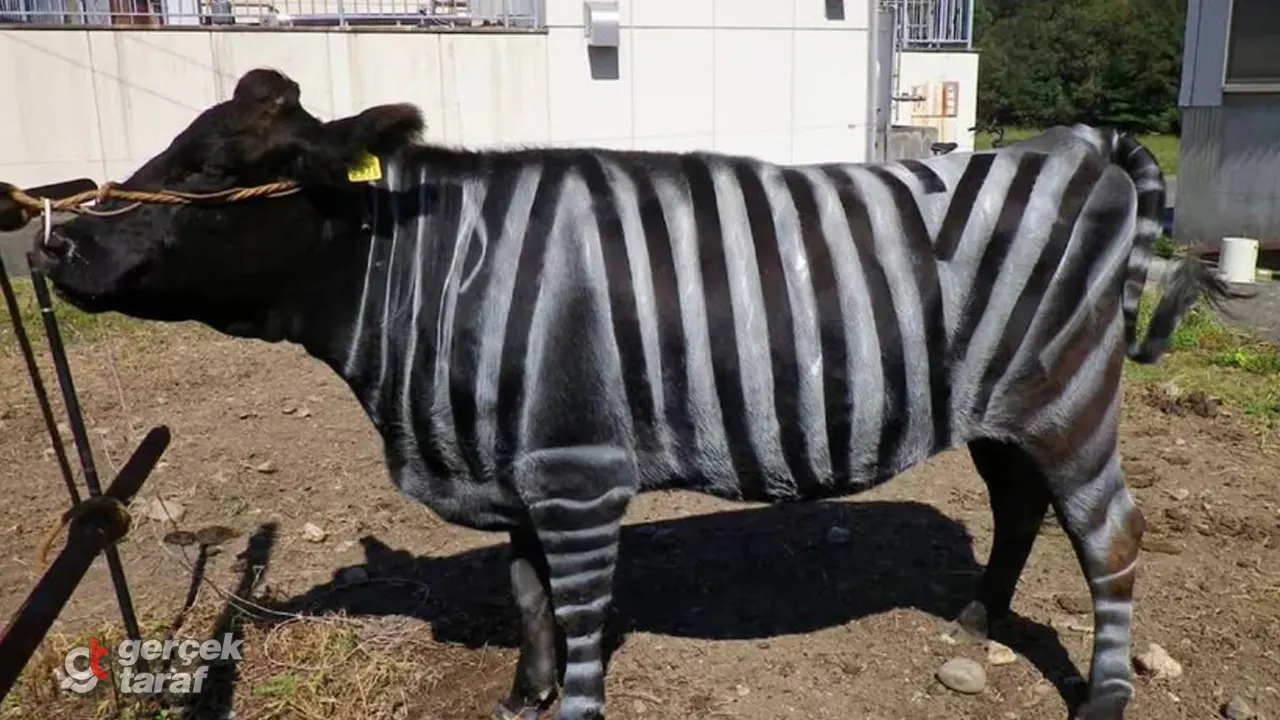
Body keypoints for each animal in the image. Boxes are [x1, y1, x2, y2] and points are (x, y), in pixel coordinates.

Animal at [32, 68, 1242, 720]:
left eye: (210, 172)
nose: (53, 242)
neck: (435, 280)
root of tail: (1073, 142)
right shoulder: (516, 470)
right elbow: (525, 599)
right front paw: (521, 695)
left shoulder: (576, 478)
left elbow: (574, 615)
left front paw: (568, 702)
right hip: (998, 406)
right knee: (1017, 503)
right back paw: (979, 615)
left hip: (1068, 399)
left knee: (1109, 536)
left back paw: (1102, 695)